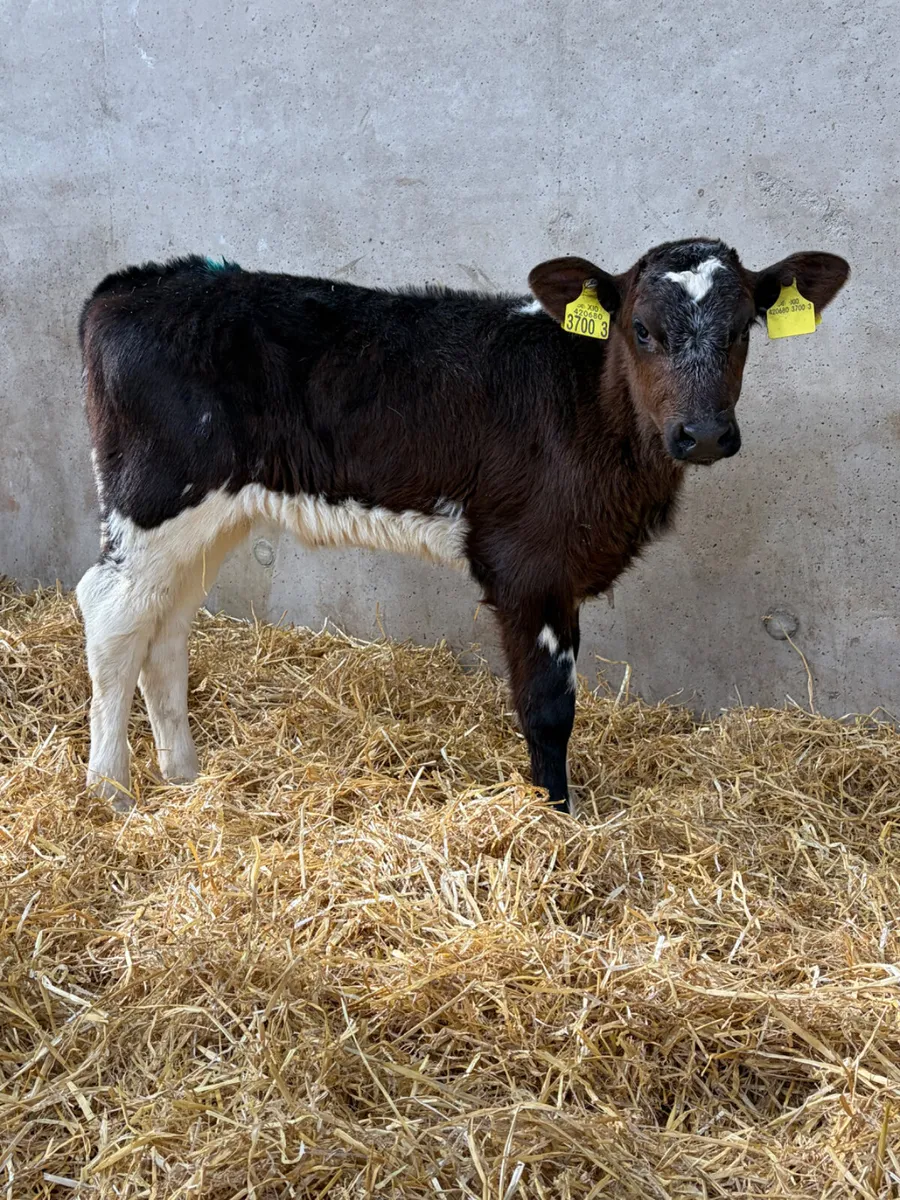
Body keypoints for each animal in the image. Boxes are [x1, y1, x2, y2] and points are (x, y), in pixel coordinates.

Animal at [75, 239, 849, 811]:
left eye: (742, 328)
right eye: (642, 329)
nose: (705, 434)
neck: (591, 409)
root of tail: (129, 285)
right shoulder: (528, 564)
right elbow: (547, 705)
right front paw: (559, 815)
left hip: (212, 514)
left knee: (166, 626)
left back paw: (183, 773)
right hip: (154, 493)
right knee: (112, 611)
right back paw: (111, 791)